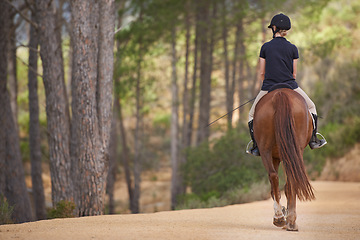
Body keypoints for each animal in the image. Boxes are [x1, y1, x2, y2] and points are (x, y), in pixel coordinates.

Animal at [253, 87, 316, 231]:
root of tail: (280, 94)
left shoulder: (276, 157)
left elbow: (275, 187)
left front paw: (283, 212)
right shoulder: (278, 156)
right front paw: (285, 214)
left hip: (266, 150)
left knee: (274, 177)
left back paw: (281, 218)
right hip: (293, 150)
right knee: (287, 180)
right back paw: (288, 220)